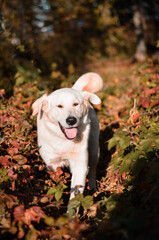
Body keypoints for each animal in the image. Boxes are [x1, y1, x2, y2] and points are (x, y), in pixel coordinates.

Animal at [32, 72, 103, 200]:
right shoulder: (52, 164)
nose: (71, 120)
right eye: (59, 106)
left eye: (76, 104)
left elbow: (76, 192)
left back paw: (93, 189)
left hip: (94, 151)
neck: (64, 141)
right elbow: (58, 183)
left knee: (92, 170)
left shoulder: (80, 164)